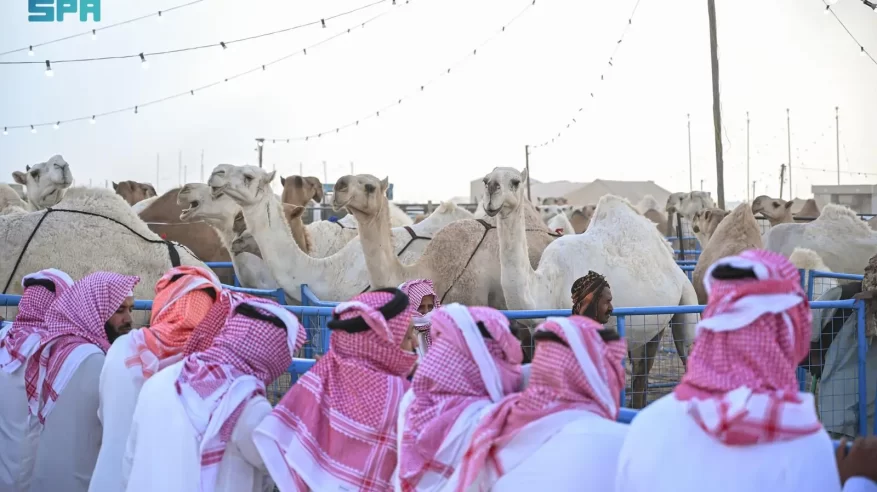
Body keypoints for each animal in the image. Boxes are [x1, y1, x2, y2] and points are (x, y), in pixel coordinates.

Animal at [486, 167, 700, 410]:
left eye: (515, 181)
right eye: (486, 180)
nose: (492, 191)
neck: (547, 287)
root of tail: (671, 256)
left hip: (686, 300)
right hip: (652, 326)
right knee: (640, 376)